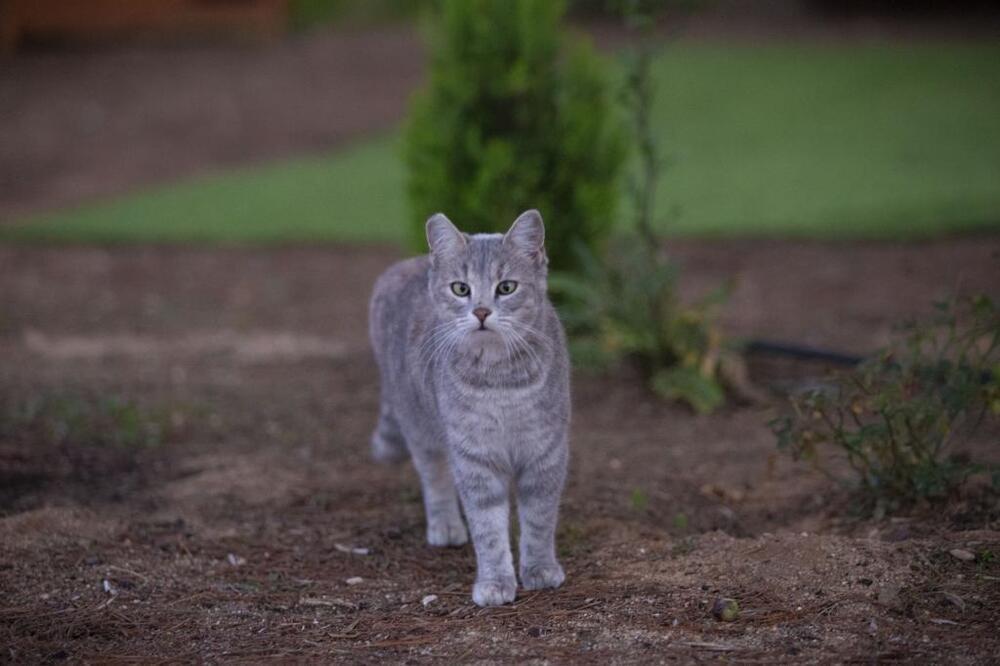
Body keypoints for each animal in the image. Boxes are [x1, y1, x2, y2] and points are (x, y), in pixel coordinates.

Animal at [368, 210, 572, 604]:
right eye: (461, 288)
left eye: (506, 287)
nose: (480, 311)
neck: (500, 381)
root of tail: (405, 264)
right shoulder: (474, 456)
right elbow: (488, 527)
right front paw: (495, 582)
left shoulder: (545, 450)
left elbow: (539, 517)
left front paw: (540, 569)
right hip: (421, 428)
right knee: (435, 478)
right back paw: (446, 525)